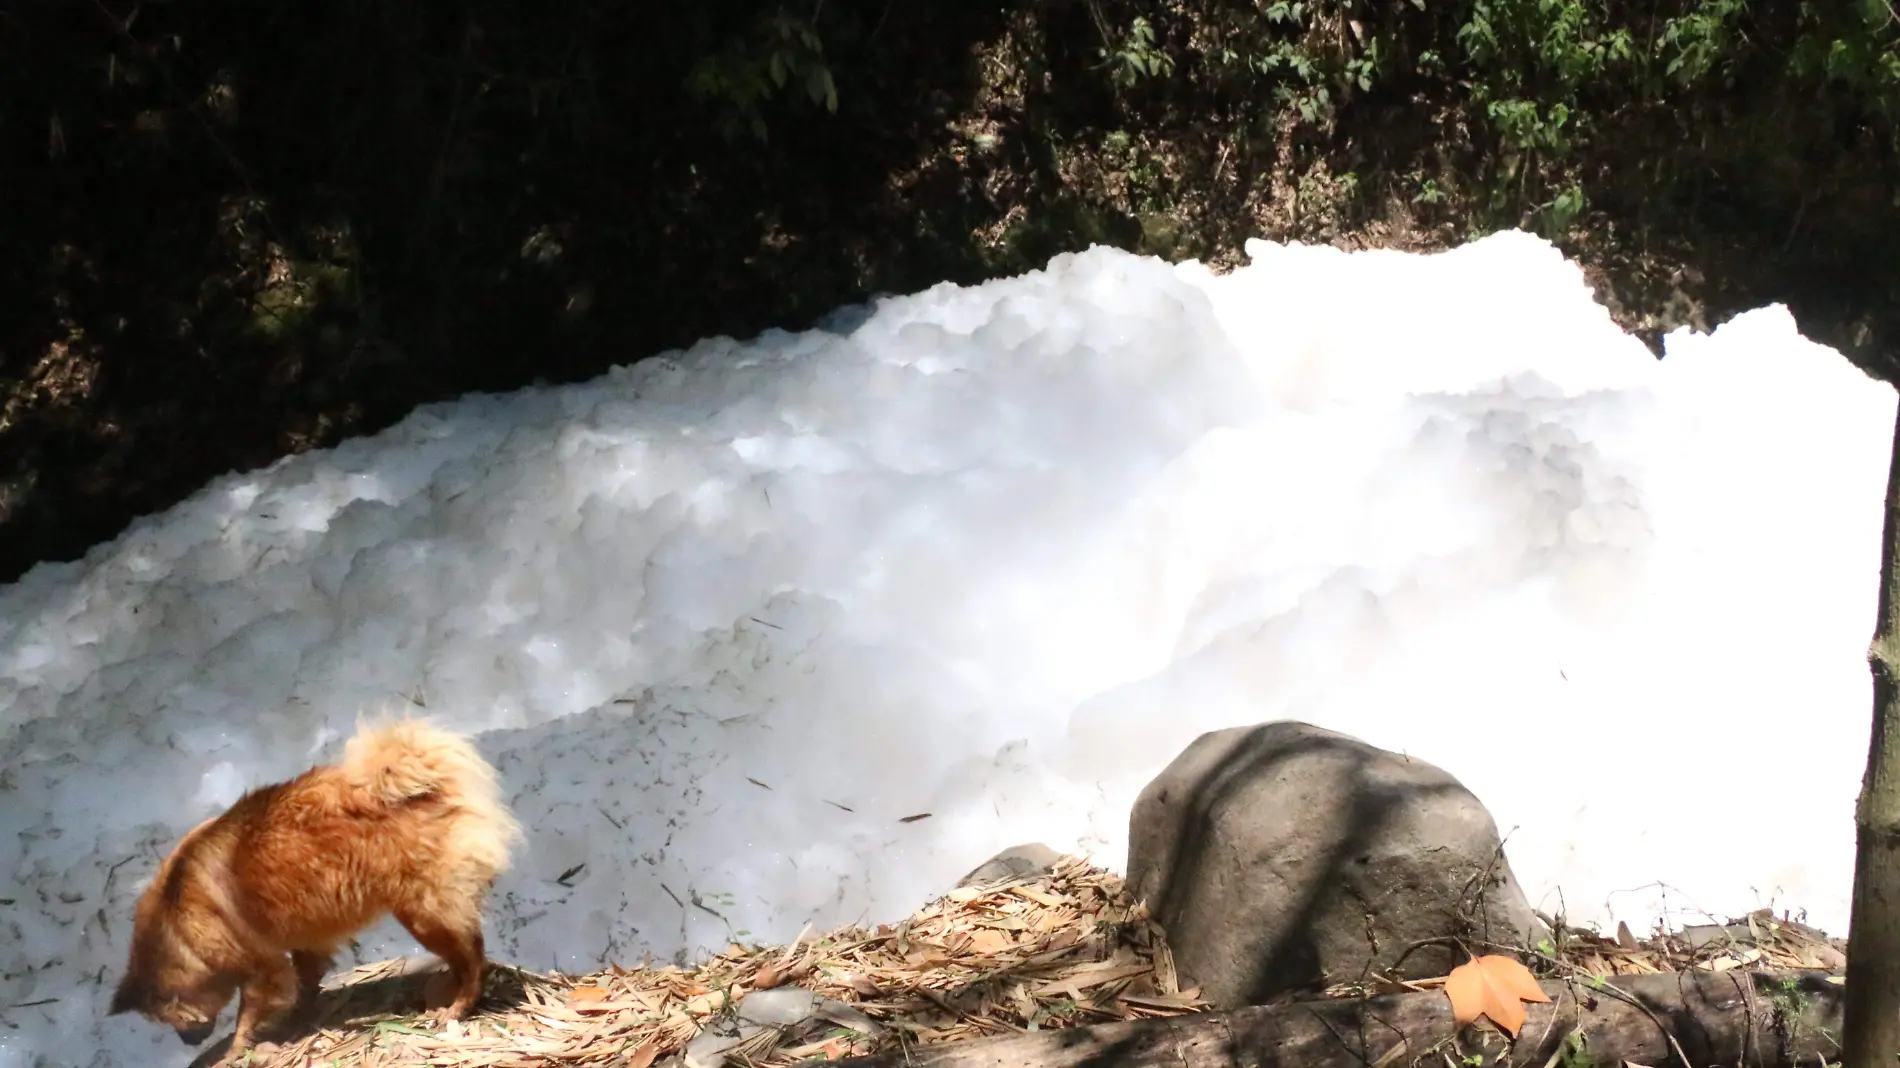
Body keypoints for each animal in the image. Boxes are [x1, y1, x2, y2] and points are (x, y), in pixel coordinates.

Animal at [107, 714, 524, 1056]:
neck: (176, 918)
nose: (188, 1043)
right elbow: (306, 978)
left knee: (472, 956)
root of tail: (426, 788)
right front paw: (301, 1012)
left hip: (423, 915)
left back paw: (459, 1004)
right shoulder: (304, 938)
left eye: (168, 1017)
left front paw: (239, 1047)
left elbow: (249, 1012)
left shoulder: (261, 967)